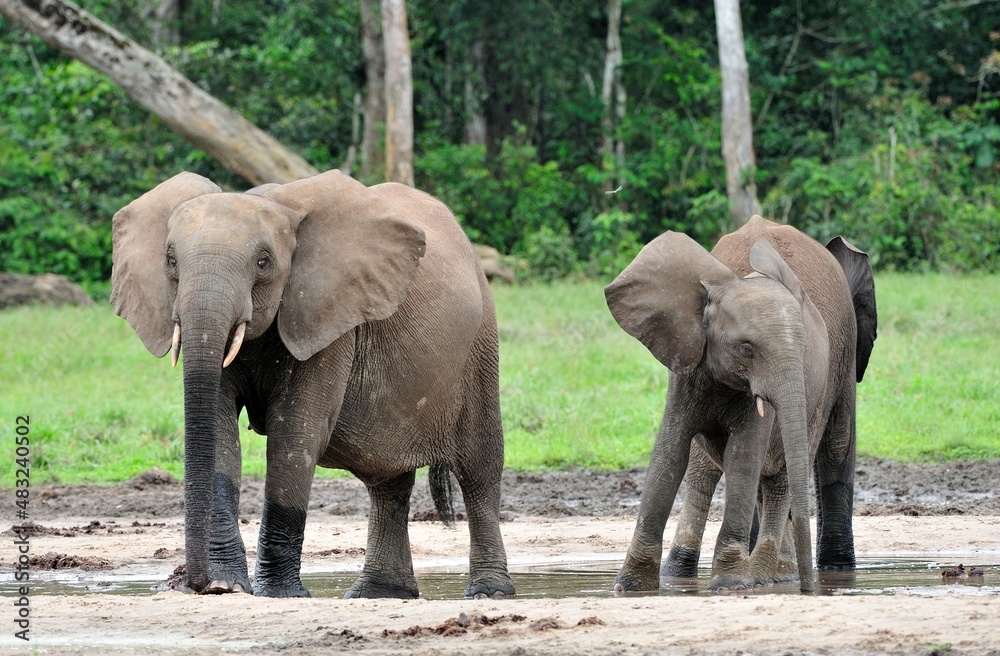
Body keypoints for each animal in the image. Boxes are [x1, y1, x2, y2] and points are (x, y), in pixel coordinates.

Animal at [110, 169, 516, 600]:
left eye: (263, 262)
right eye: (171, 261)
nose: (194, 583)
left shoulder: (327, 313)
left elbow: (296, 432)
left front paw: (277, 595)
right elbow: (219, 432)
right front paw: (225, 587)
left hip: (480, 346)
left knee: (478, 468)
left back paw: (488, 592)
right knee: (387, 479)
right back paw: (378, 593)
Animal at [600, 217, 876, 596]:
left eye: (804, 347)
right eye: (746, 349)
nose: (809, 590)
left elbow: (744, 456)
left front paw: (730, 582)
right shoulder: (689, 360)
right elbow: (670, 454)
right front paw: (630, 587)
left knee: (788, 468)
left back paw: (769, 574)